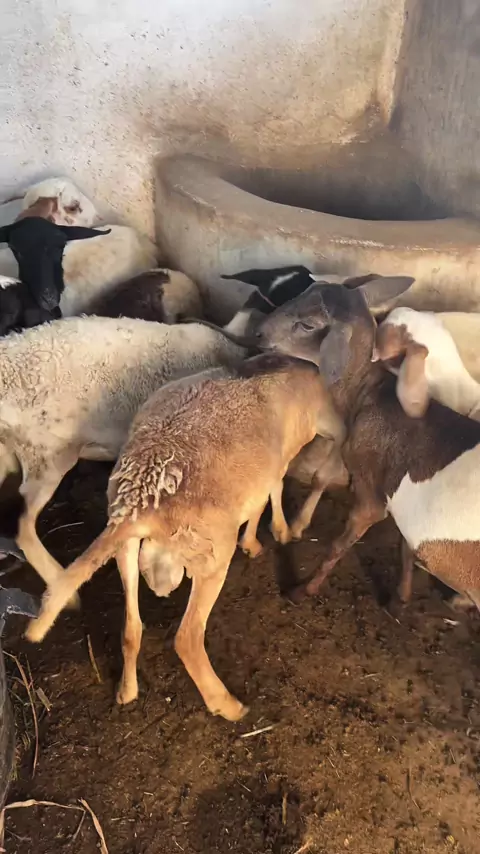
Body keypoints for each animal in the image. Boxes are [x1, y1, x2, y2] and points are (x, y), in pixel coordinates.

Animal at [25, 352, 345, 720]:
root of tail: (139, 501)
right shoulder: (278, 462)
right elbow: (272, 492)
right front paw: (270, 535)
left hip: (127, 550)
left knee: (131, 628)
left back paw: (126, 692)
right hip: (211, 555)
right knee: (187, 637)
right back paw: (228, 705)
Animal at [256, 273, 480, 613]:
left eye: (307, 325)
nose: (258, 333)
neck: (370, 392)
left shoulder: (371, 493)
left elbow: (338, 545)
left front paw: (302, 590)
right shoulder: (397, 498)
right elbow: (404, 548)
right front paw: (400, 598)